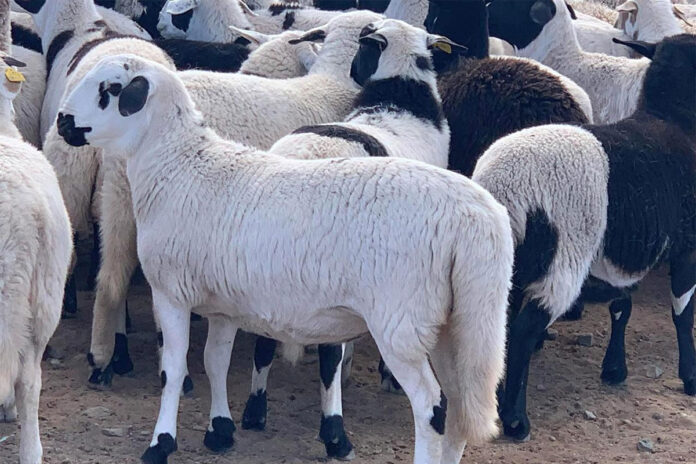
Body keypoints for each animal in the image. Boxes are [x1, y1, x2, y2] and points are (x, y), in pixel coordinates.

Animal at [57, 50, 513, 464]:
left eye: (111, 89)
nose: (62, 122)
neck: (181, 166)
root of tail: (475, 217)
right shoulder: (223, 303)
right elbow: (214, 362)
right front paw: (220, 431)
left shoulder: (171, 292)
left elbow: (174, 371)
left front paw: (160, 444)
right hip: (459, 324)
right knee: (459, 407)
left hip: (402, 324)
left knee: (432, 407)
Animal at [472, 33, 696, 442]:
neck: (673, 120)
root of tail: (506, 187)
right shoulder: (687, 248)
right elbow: (681, 313)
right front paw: (690, 378)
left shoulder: (618, 255)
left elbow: (622, 306)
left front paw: (615, 370)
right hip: (564, 259)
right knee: (525, 328)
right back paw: (516, 420)